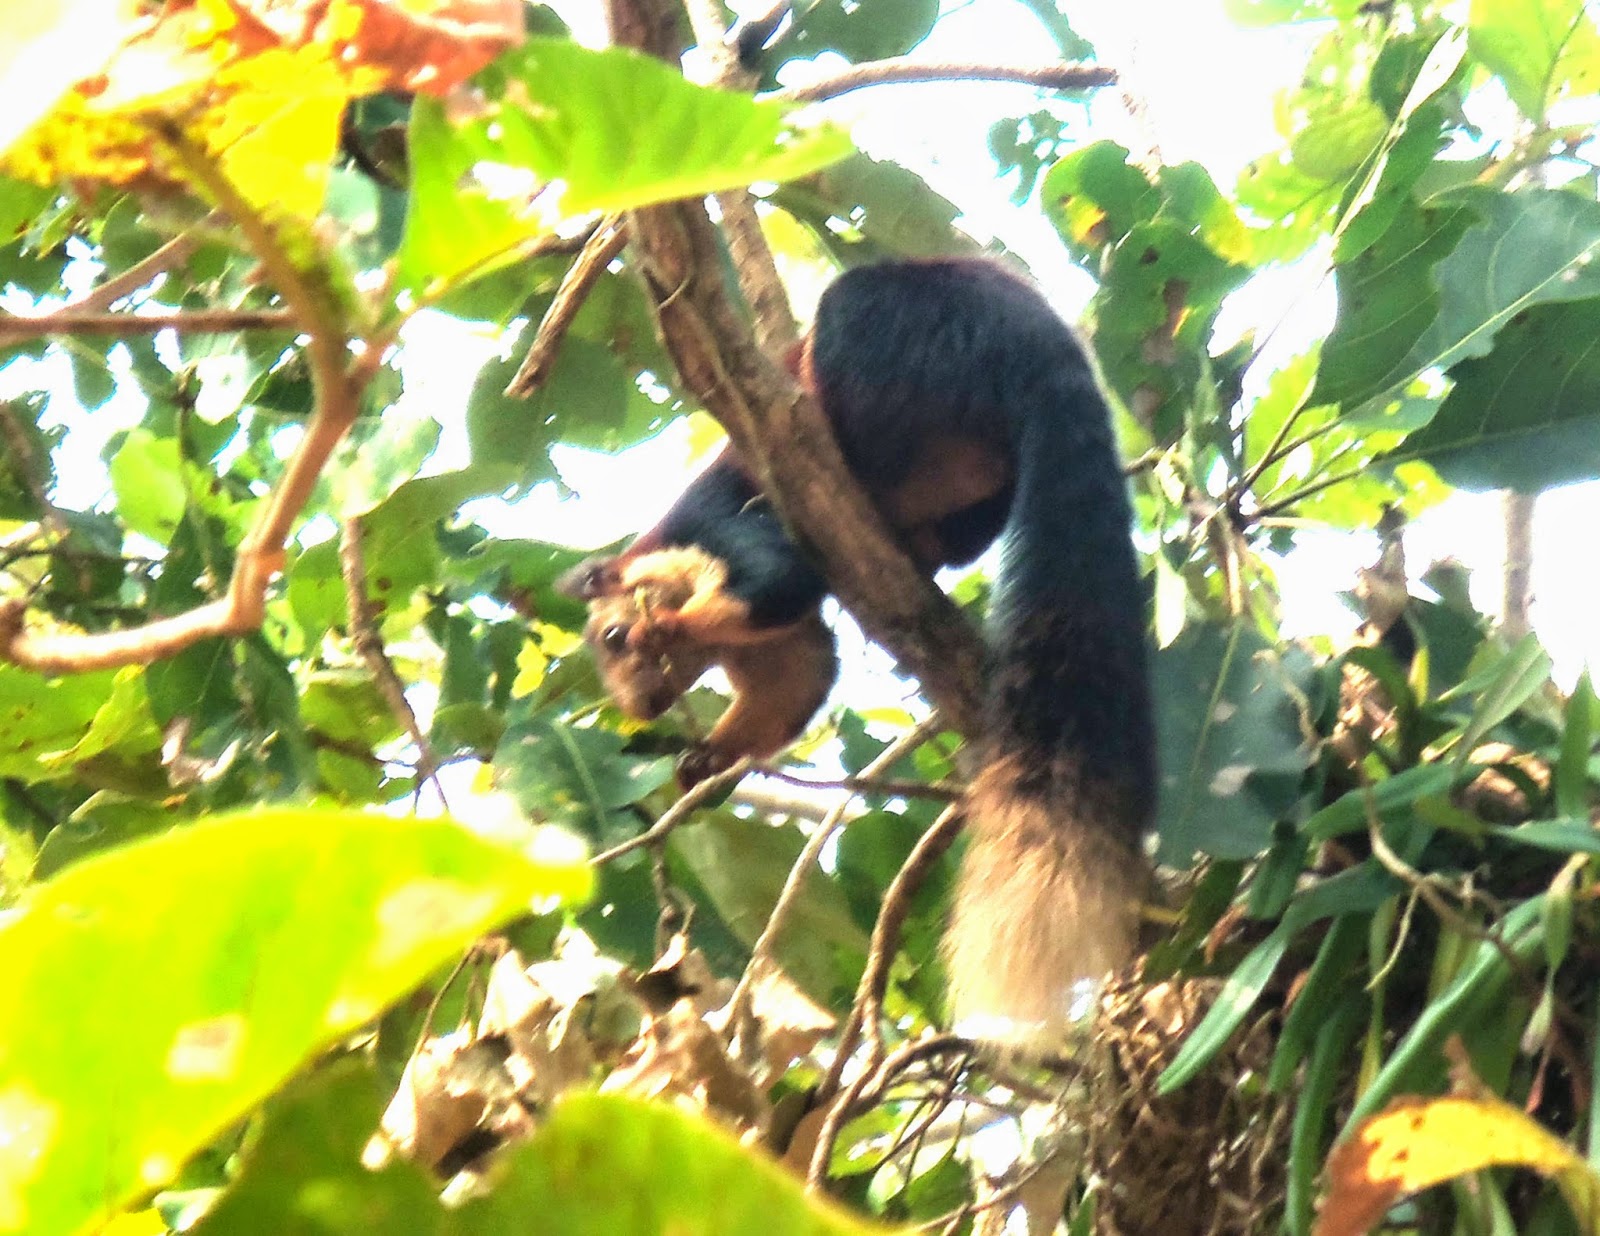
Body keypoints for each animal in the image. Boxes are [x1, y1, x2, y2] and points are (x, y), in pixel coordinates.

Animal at [562, 258, 1155, 1047]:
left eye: (611, 638)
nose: (643, 704)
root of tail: (1039, 347)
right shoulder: (785, 647)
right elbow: (798, 683)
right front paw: (705, 759)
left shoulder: (726, 523)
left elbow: (776, 582)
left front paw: (671, 630)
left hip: (880, 354)